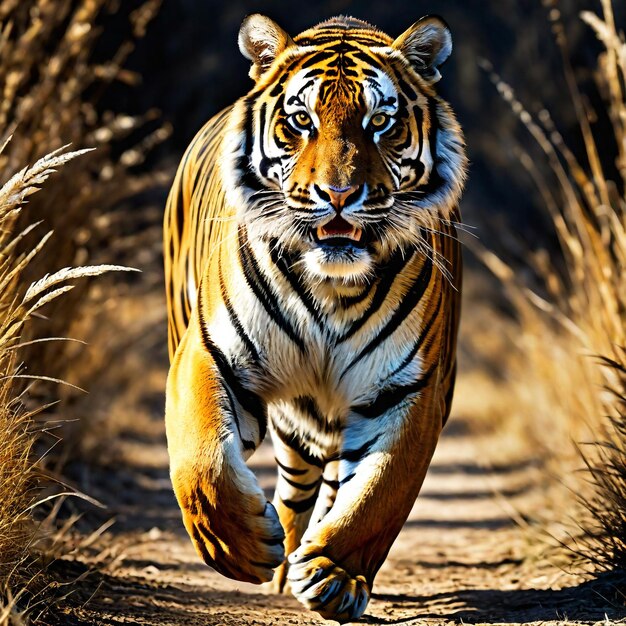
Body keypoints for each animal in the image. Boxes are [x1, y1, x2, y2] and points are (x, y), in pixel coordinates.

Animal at [163, 12, 466, 620]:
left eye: (381, 123)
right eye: (302, 120)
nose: (340, 194)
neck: (333, 286)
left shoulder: (412, 388)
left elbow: (380, 492)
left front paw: (334, 574)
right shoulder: (209, 352)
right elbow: (202, 459)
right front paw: (236, 546)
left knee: (326, 484)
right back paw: (278, 557)